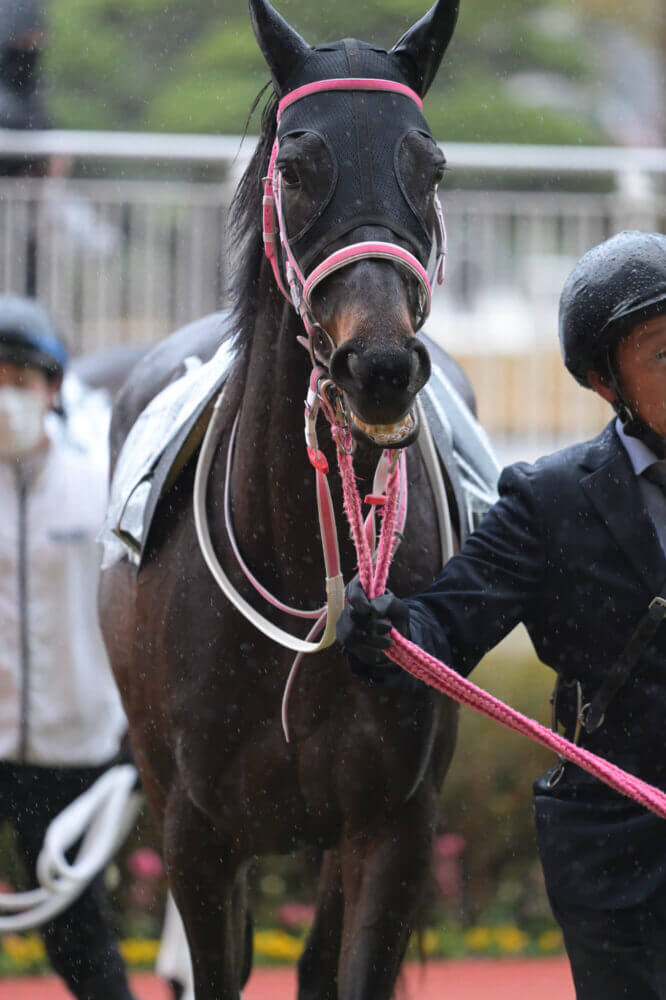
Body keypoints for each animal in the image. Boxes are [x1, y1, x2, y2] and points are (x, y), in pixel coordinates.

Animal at [100, 3, 472, 996]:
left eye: (430, 166)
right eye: (298, 167)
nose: (377, 365)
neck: (301, 561)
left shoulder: (393, 828)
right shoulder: (194, 836)